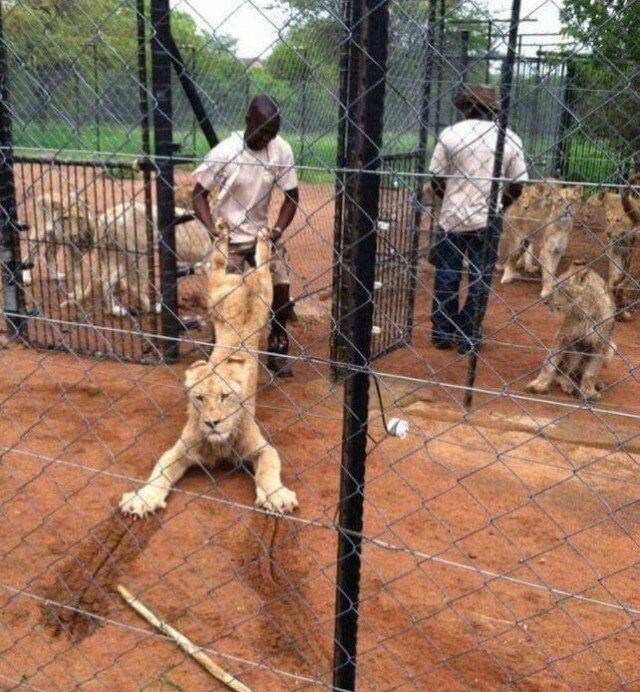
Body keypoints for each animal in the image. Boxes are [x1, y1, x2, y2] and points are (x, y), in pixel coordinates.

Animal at [524, 260, 616, 400]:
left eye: (559, 288)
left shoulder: (601, 344)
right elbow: (549, 365)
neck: (586, 313)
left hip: (611, 349)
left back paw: (597, 383)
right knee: (563, 372)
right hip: (575, 351)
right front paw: (538, 385)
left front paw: (589, 392)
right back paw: (568, 385)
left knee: (580, 373)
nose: (545, 302)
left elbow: (591, 372)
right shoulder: (563, 337)